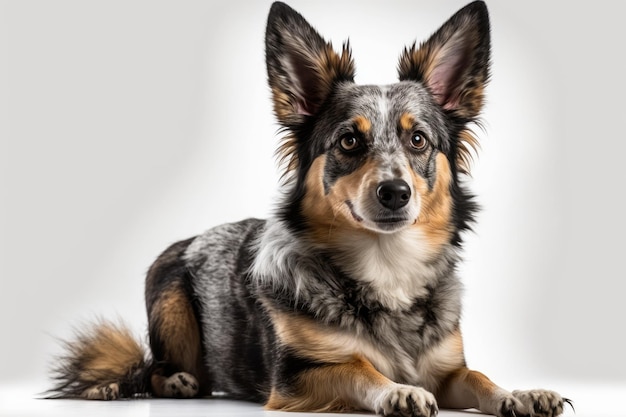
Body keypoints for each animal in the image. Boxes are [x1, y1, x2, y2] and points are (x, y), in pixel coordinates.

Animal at [46, 1, 568, 414]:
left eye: (418, 139)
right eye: (349, 140)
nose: (395, 192)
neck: (386, 266)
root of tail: (188, 241)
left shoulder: (448, 369)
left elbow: (480, 377)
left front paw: (519, 394)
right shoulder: (299, 375)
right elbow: (359, 368)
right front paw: (396, 391)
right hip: (172, 309)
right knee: (151, 367)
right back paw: (172, 381)